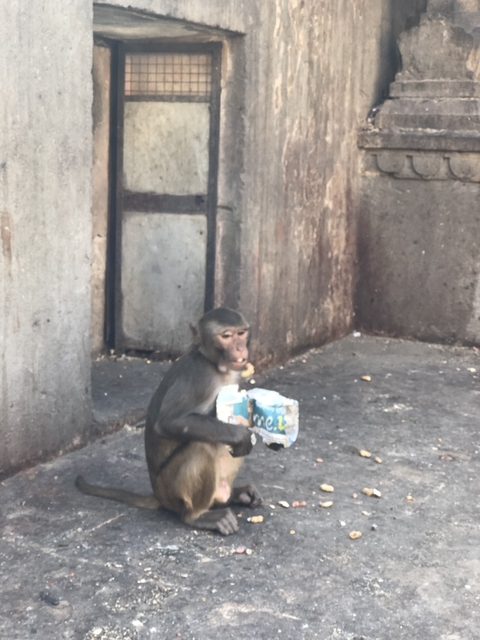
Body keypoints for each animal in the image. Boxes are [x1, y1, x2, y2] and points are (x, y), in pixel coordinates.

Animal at [76, 307, 262, 535]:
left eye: (241, 333)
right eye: (226, 336)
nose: (239, 348)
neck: (215, 365)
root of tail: (158, 495)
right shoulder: (200, 377)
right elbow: (170, 422)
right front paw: (241, 435)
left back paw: (233, 495)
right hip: (170, 489)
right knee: (202, 447)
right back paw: (198, 516)